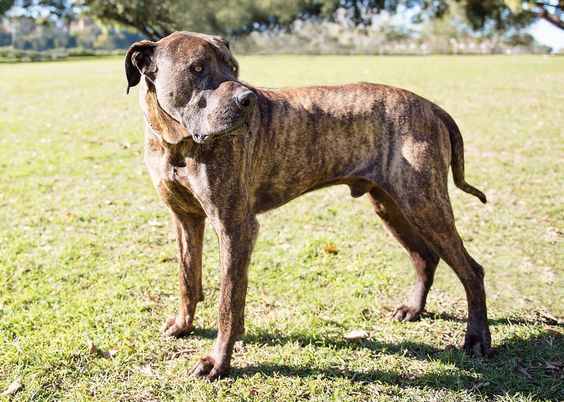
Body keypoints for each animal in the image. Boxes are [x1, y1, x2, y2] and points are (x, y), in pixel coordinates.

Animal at [125, 30, 492, 380]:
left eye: (234, 68)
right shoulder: (185, 220)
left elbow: (228, 303)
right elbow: (188, 279)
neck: (176, 143)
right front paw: (183, 325)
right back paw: (414, 309)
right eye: (198, 69)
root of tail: (431, 106)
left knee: (471, 270)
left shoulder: (235, 228)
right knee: (424, 257)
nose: (248, 99)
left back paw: (476, 338)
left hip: (424, 204)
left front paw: (217, 362)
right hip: (392, 206)